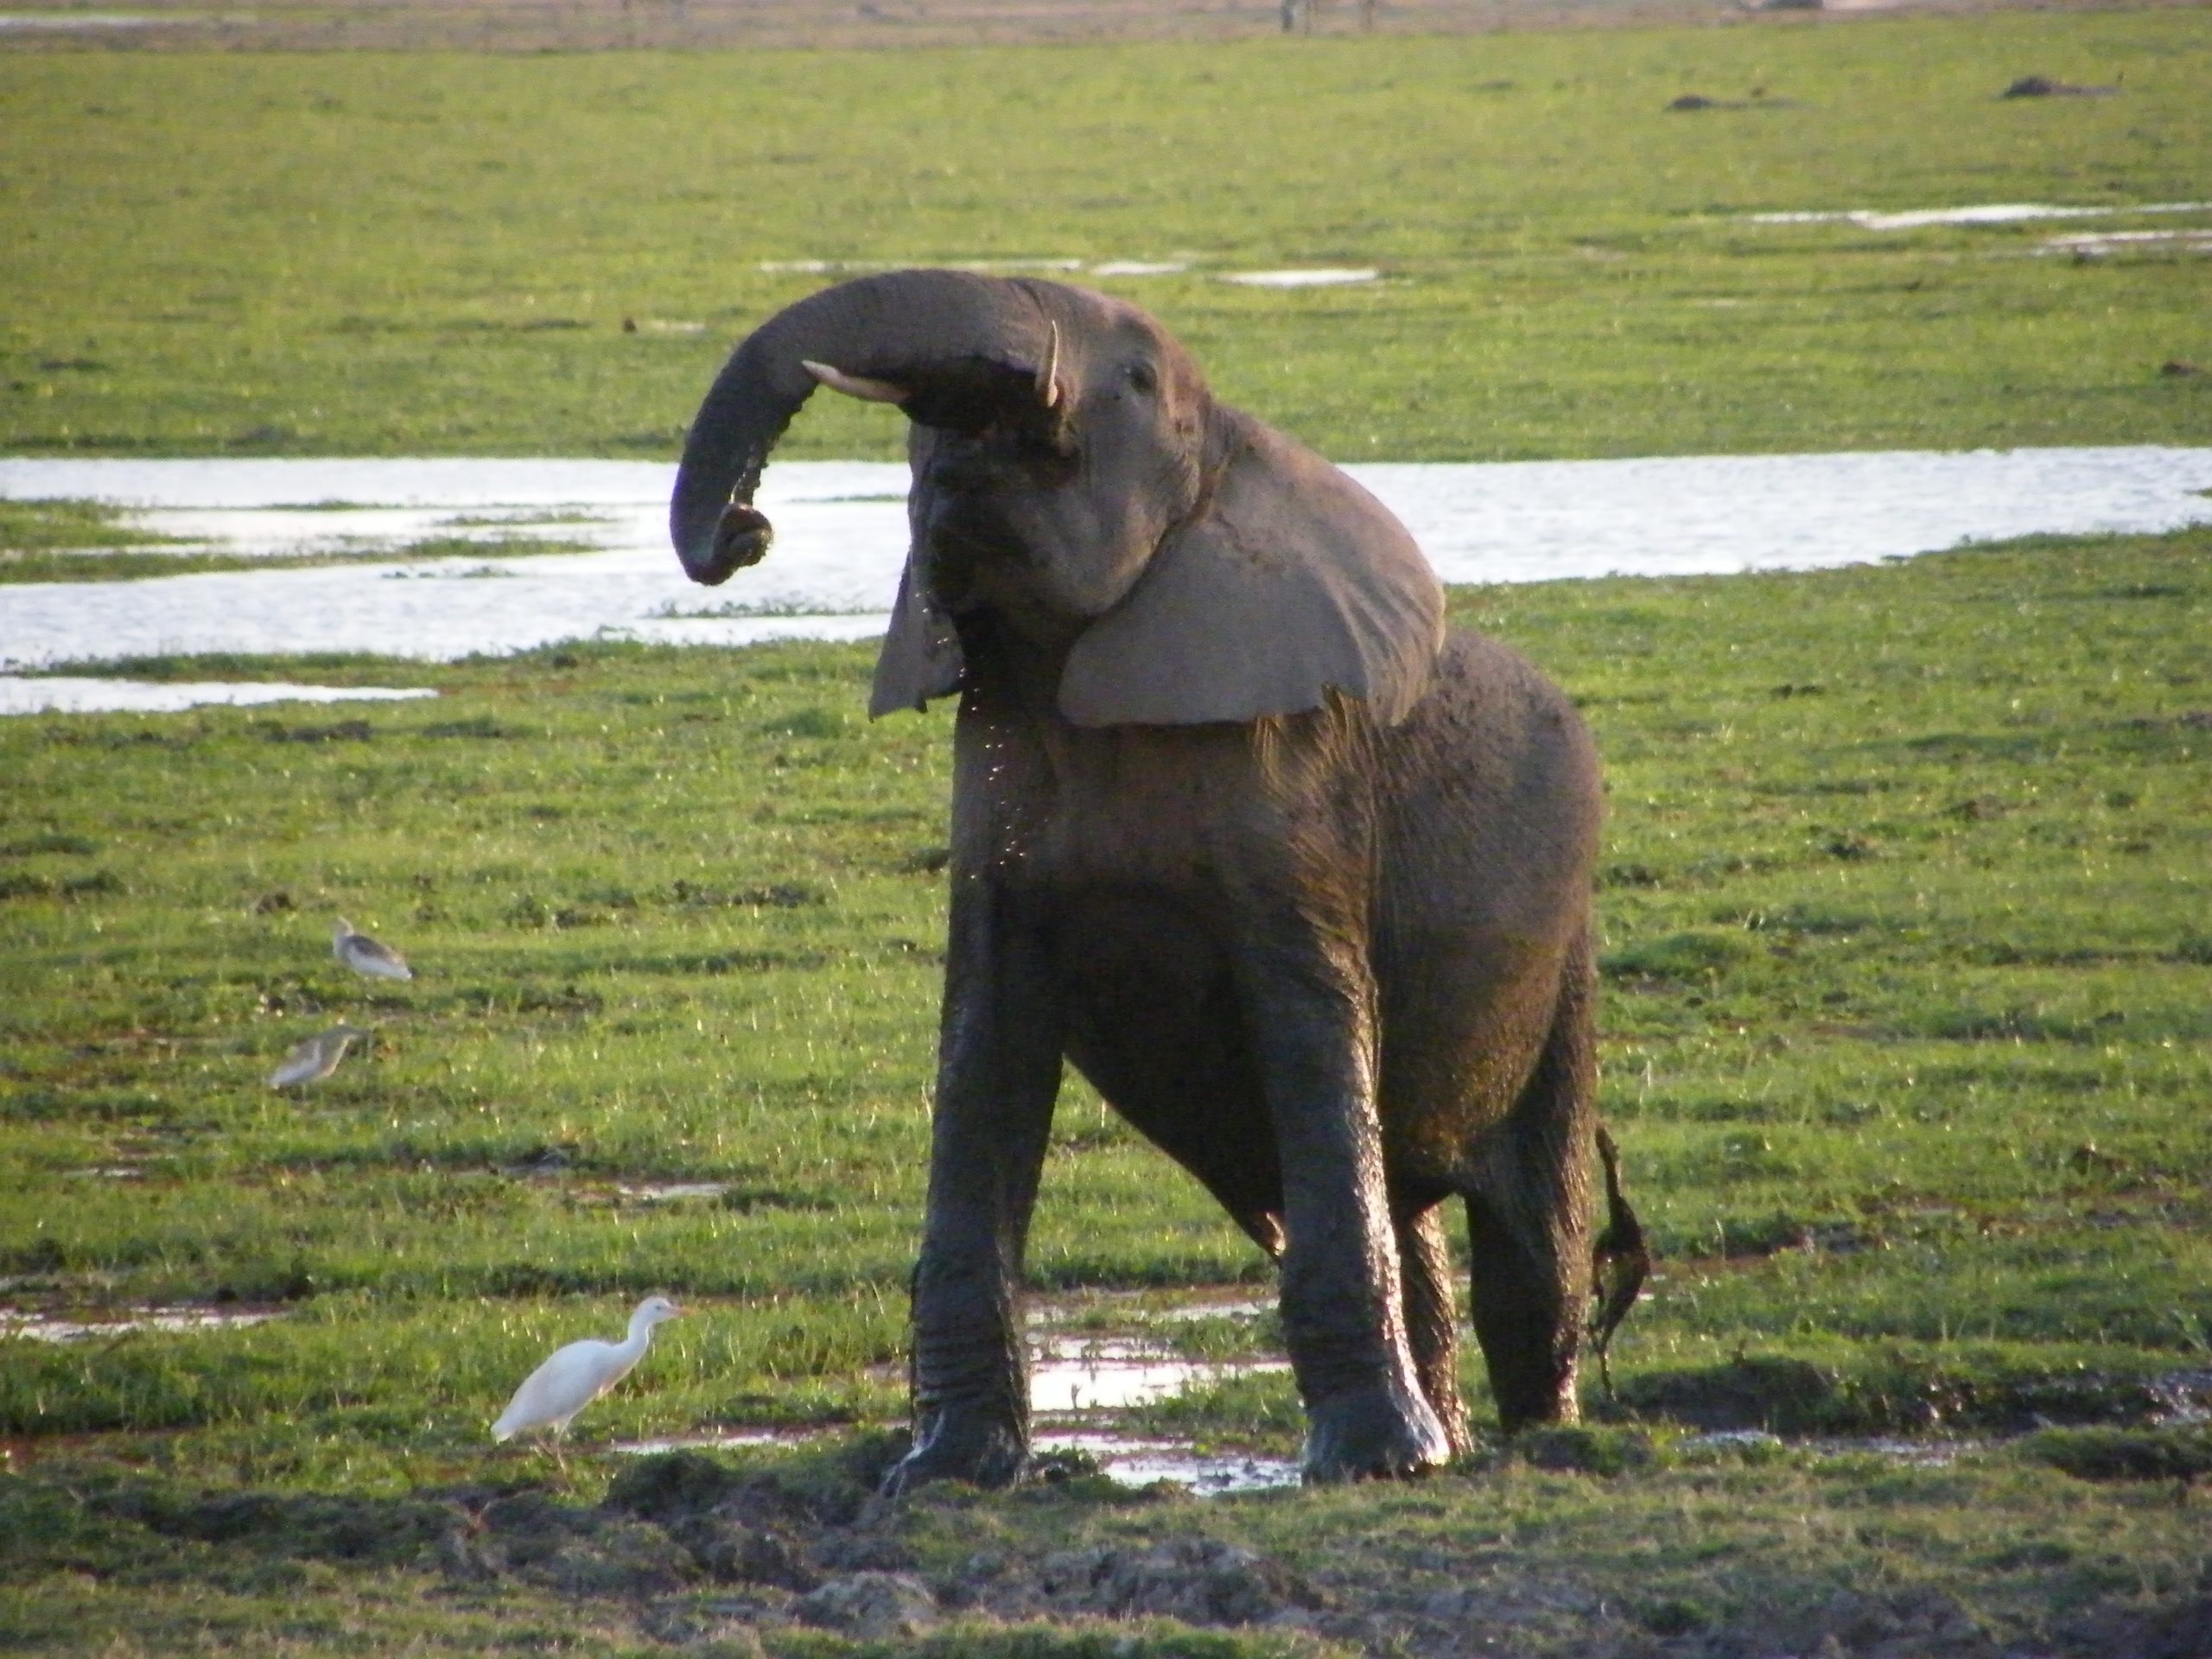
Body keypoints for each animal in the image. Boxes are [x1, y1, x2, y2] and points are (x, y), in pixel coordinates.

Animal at [672, 273, 1645, 1495]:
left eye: (1134, 380)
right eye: (916, 442)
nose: (745, 531)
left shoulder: (1294, 784)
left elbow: (1308, 1030)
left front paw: (1372, 1468)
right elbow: (983, 1054)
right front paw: (945, 1474)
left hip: (1566, 957)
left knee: (1531, 1242)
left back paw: (1532, 1442)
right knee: (1405, 1204)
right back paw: (1450, 1440)